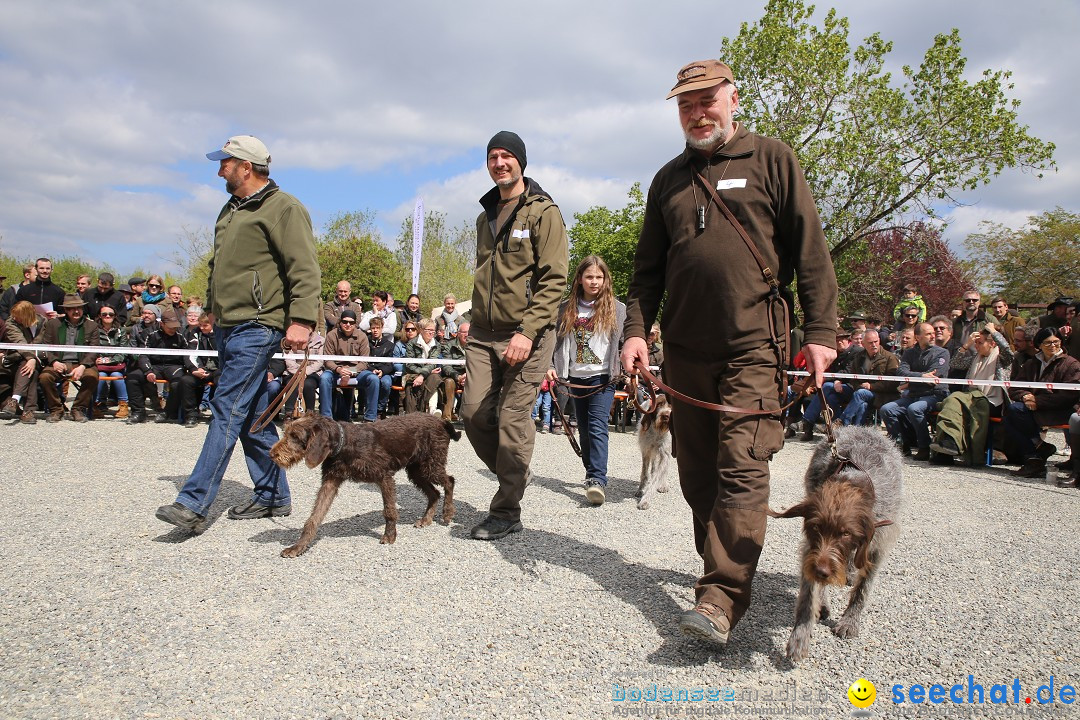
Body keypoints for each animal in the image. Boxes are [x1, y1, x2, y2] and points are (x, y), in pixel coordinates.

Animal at [272, 410, 457, 557]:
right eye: (286, 432)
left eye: (295, 436)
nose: (272, 454)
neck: (345, 443)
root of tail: (441, 421)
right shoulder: (330, 481)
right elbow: (314, 518)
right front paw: (298, 546)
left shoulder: (384, 477)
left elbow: (389, 511)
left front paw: (390, 536)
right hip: (416, 470)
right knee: (435, 493)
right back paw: (426, 519)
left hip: (431, 465)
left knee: (450, 481)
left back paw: (447, 513)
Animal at [768, 425, 902, 660]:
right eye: (815, 527)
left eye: (846, 533)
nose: (822, 571)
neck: (855, 480)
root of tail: (861, 427)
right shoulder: (812, 550)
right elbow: (808, 595)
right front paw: (800, 636)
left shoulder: (877, 545)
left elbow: (863, 588)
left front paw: (850, 620)